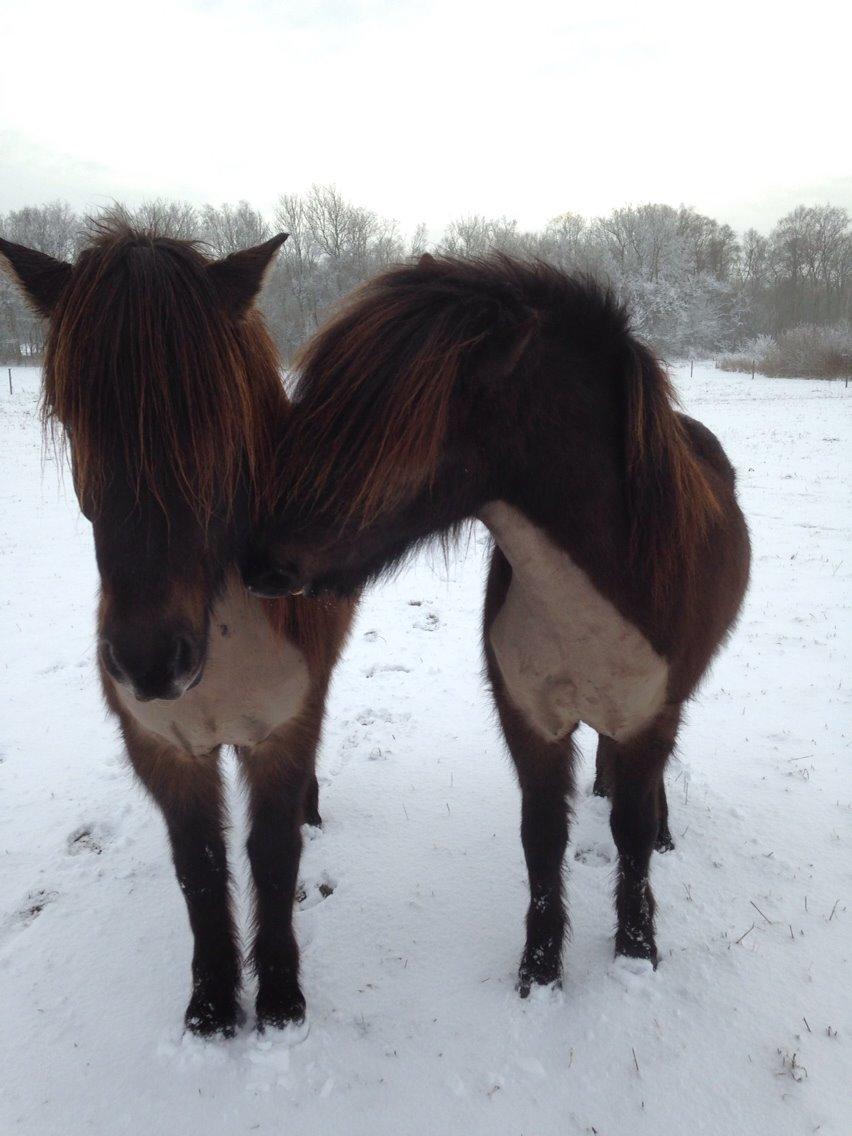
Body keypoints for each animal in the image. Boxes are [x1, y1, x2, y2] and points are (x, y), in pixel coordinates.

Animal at [0, 226, 354, 1036]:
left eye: (215, 420)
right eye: (71, 416)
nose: (150, 662)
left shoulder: (279, 734)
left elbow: (273, 855)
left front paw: (279, 997)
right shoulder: (167, 752)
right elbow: (199, 867)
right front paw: (215, 1002)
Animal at [243, 255, 749, 995]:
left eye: (384, 420)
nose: (254, 558)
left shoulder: (648, 715)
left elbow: (628, 835)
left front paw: (636, 951)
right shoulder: (530, 721)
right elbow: (542, 840)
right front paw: (540, 972)